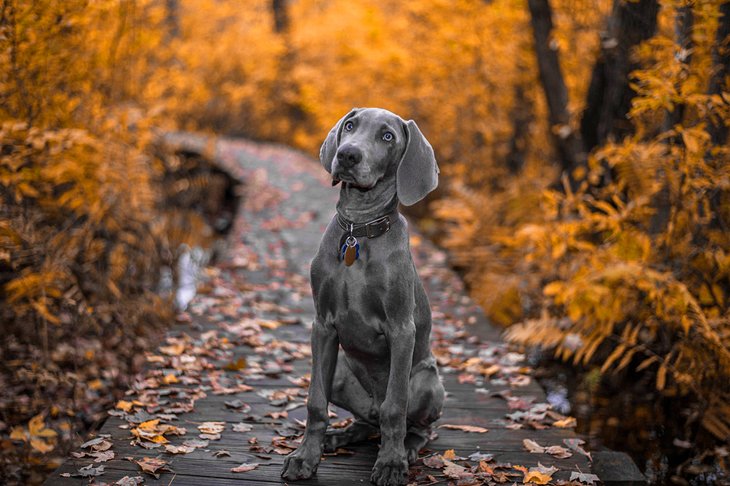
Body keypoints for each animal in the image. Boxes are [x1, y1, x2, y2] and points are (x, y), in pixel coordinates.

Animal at [282, 108, 444, 484]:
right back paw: (338, 436)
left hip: (428, 382)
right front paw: (305, 457)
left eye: (387, 136)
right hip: (341, 373)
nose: (347, 155)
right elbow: (315, 403)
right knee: (366, 422)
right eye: (350, 126)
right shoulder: (322, 325)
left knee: (414, 425)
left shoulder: (401, 330)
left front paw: (391, 463)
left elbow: (394, 408)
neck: (359, 228)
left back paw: (407, 449)